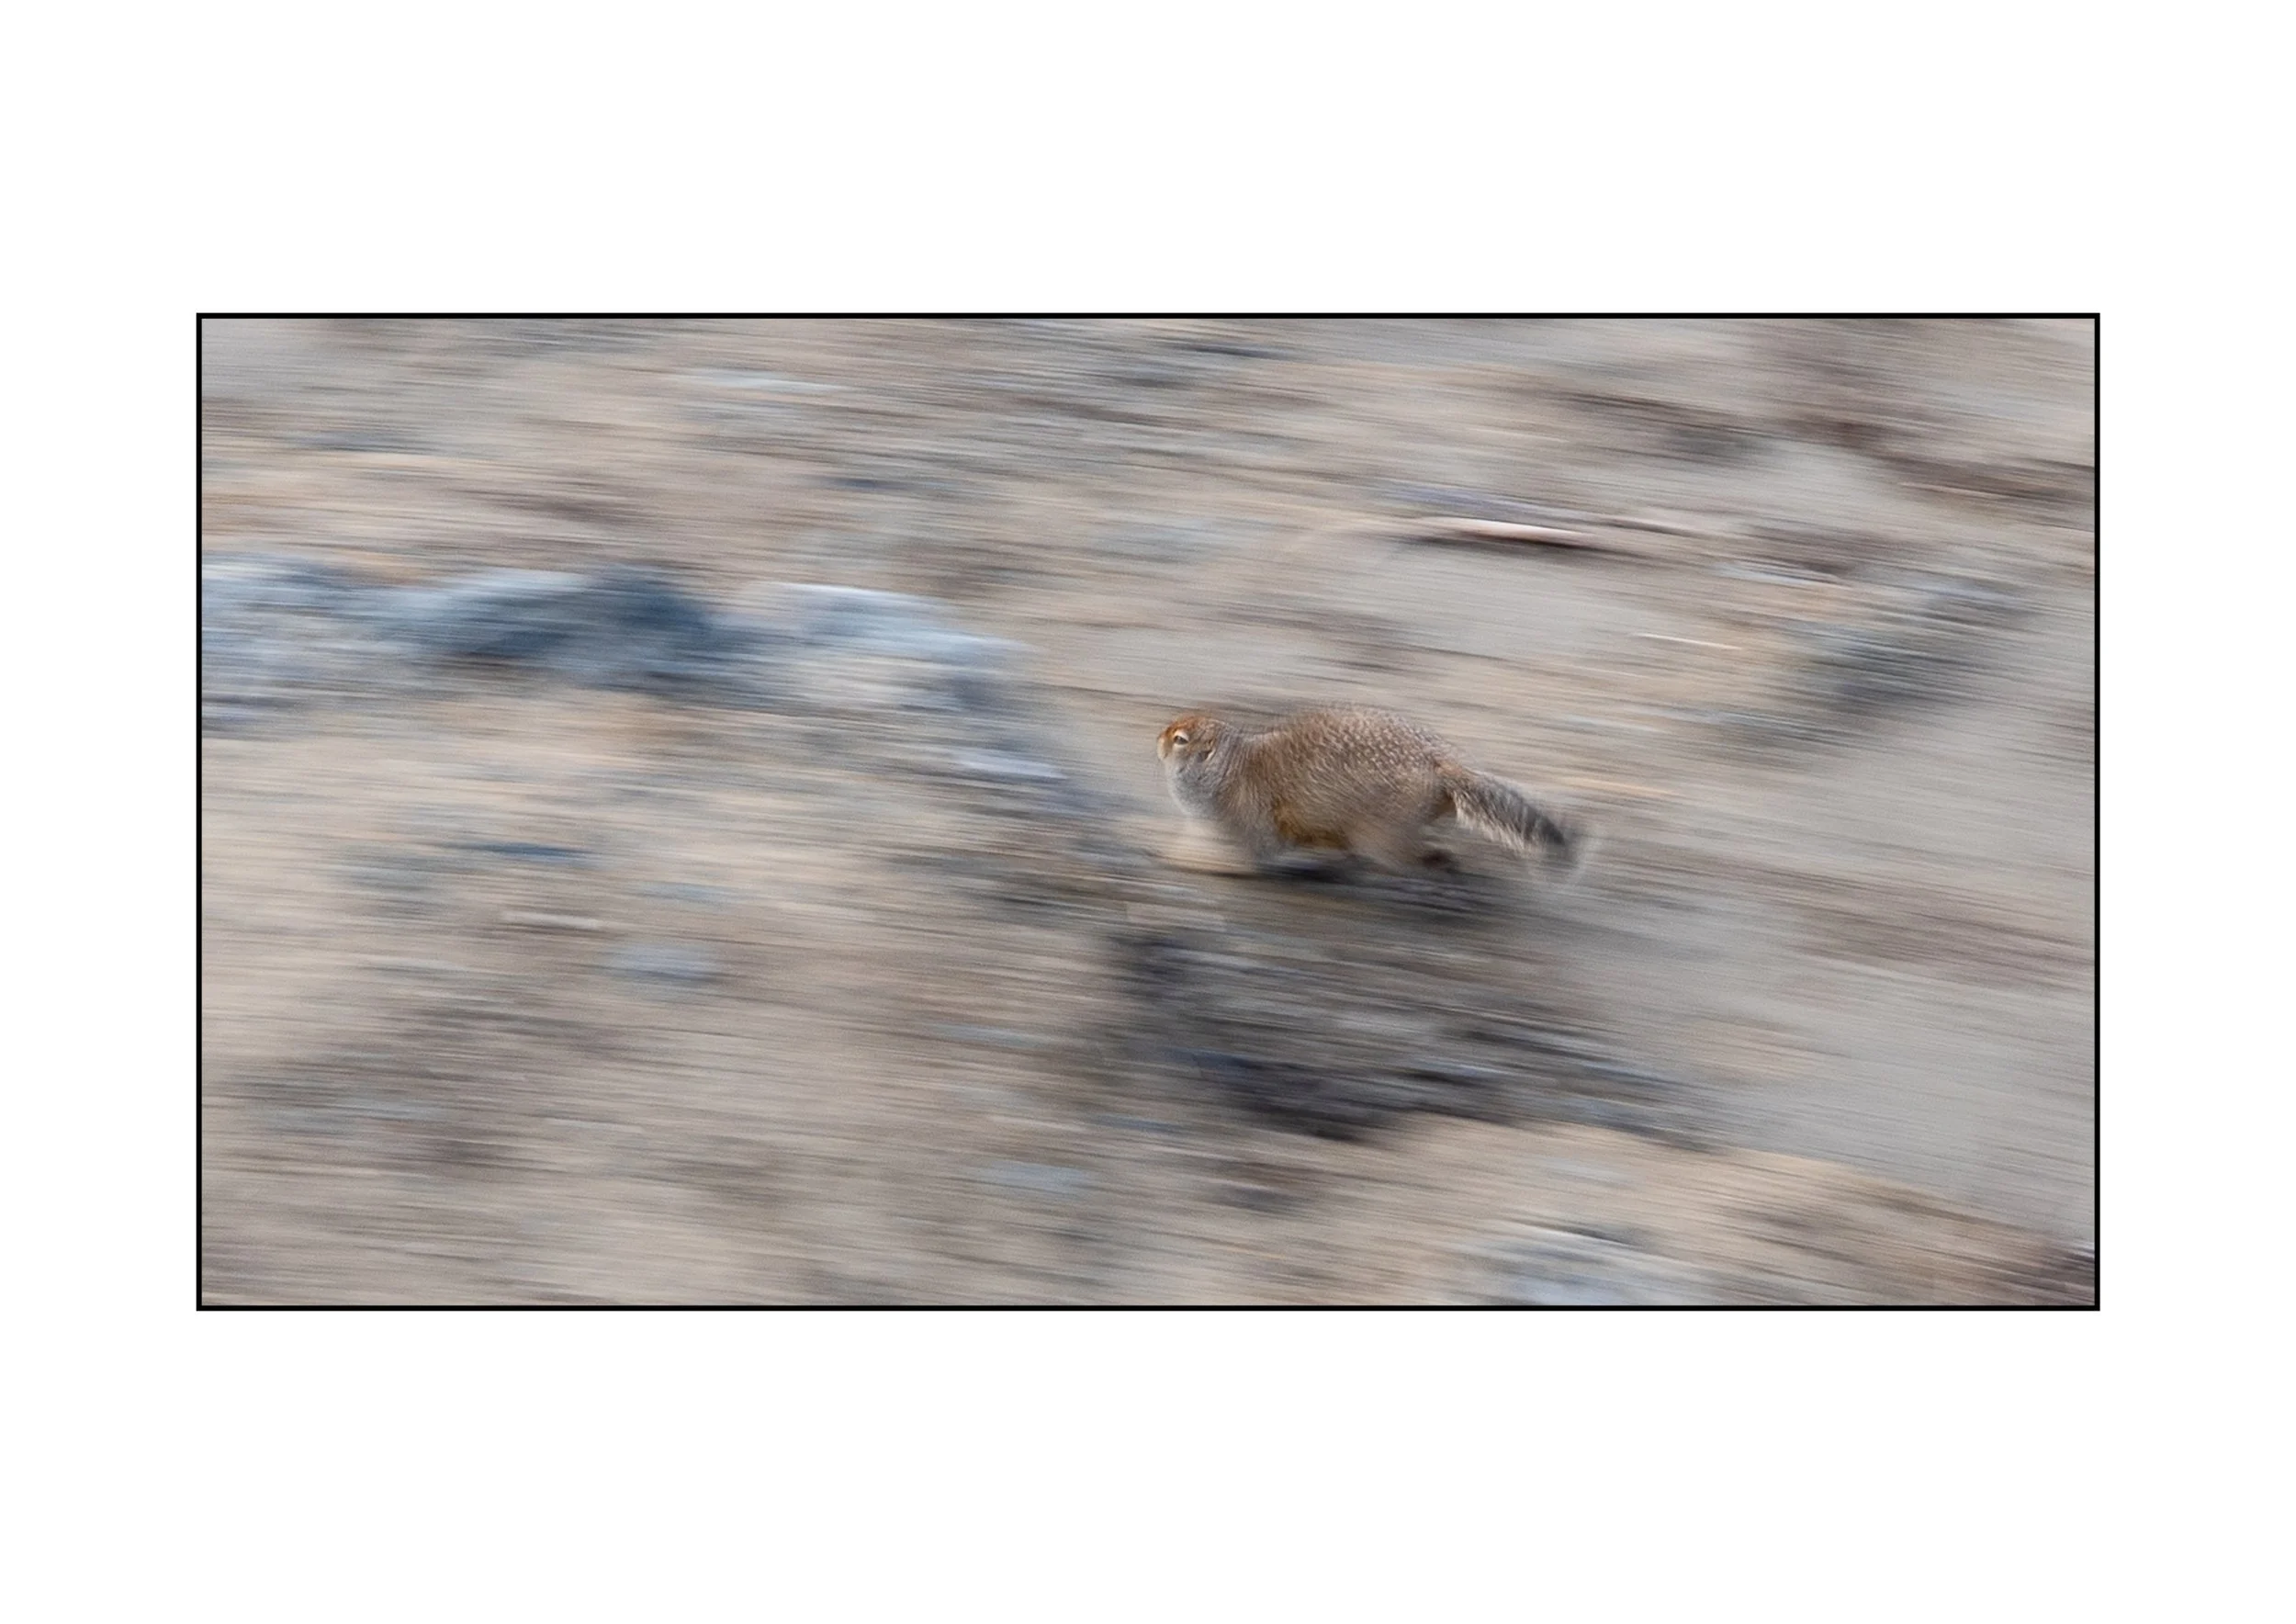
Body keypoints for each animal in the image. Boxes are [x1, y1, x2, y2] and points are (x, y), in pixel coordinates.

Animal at [1156, 705, 1577, 875]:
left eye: (1180, 739)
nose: (1157, 737)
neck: (1232, 766)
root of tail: (1441, 764)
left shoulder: (1245, 819)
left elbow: (1246, 852)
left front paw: (1191, 861)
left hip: (1382, 830)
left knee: (1406, 855)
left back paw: (1438, 862)